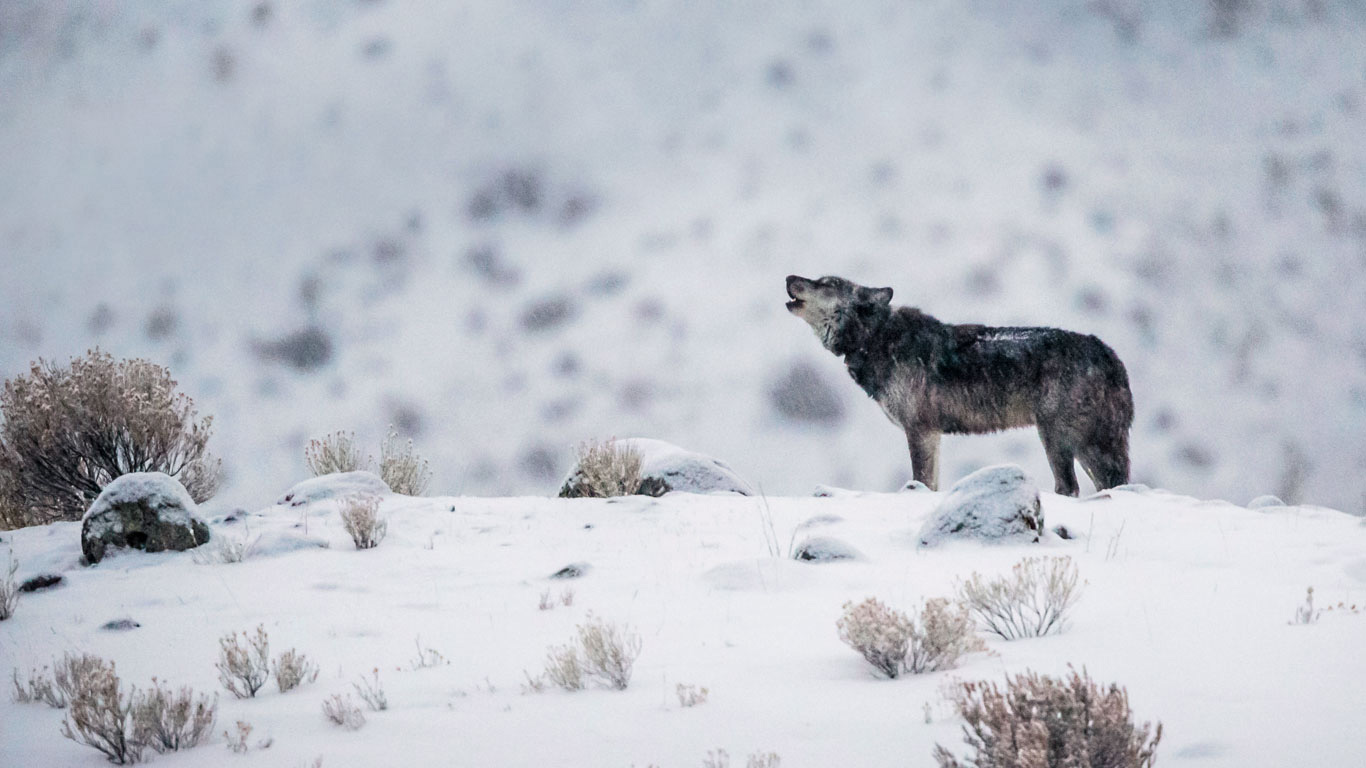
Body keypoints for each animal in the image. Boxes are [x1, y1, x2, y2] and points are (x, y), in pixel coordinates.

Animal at [785, 274, 1133, 496]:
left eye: (827, 283)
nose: (789, 276)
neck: (875, 339)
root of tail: (1108, 353)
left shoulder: (920, 430)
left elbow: (921, 481)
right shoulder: (932, 434)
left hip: (1060, 437)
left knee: (1072, 487)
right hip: (1083, 443)